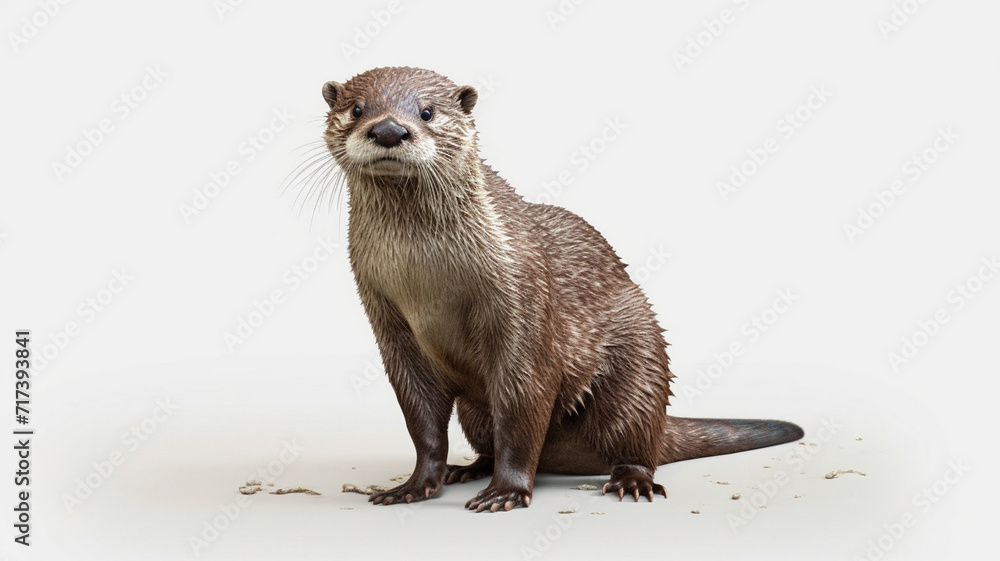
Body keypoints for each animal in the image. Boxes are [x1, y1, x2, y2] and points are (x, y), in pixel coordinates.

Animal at [320, 67, 803, 512]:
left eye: (427, 111)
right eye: (357, 109)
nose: (388, 130)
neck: (427, 277)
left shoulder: (523, 298)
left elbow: (521, 411)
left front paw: (506, 492)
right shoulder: (391, 323)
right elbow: (422, 422)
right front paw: (414, 485)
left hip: (639, 365)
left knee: (637, 438)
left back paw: (633, 480)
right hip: (475, 412)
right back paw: (470, 468)